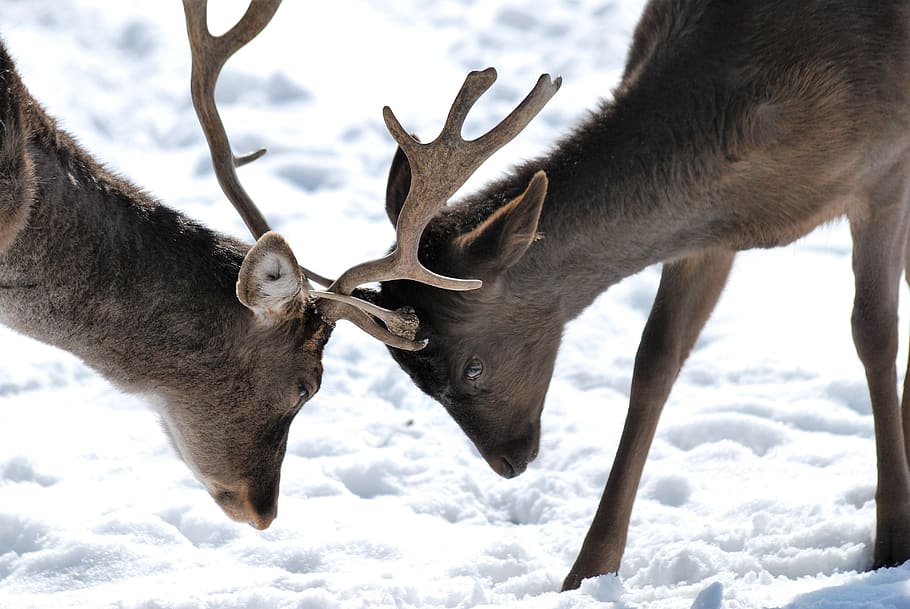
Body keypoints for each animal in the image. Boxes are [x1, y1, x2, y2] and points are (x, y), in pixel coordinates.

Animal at [375, 0, 910, 591]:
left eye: (473, 367)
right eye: (417, 380)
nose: (508, 462)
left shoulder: (886, 174)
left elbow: (875, 335)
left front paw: (891, 544)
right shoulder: (707, 235)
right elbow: (654, 360)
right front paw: (587, 572)